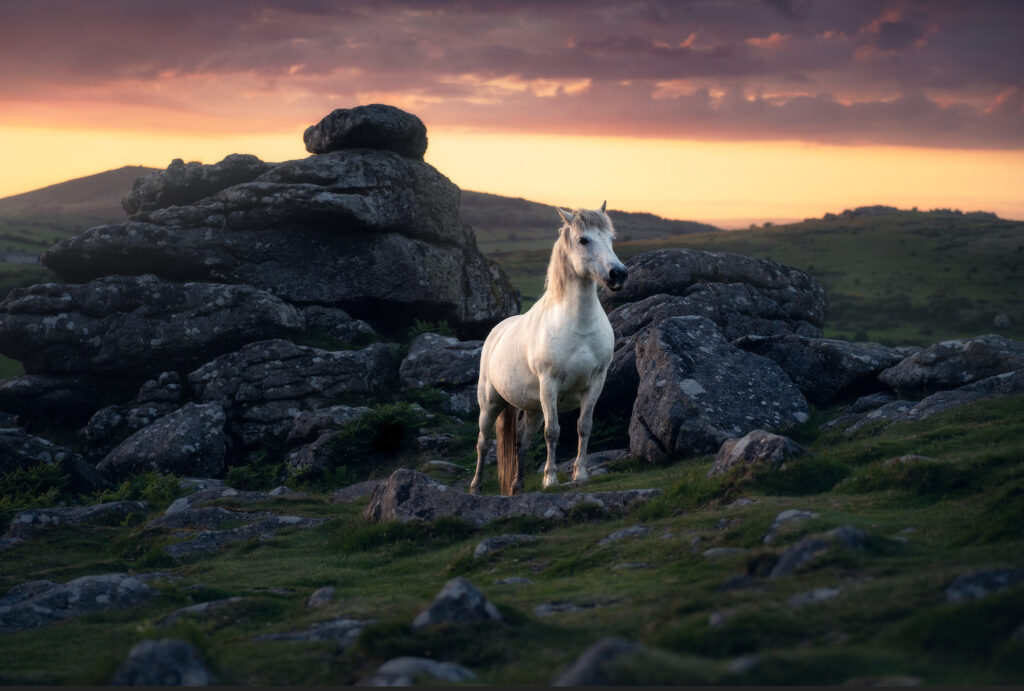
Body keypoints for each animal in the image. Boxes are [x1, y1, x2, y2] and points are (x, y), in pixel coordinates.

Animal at [470, 202, 628, 496]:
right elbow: (553, 432)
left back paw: (517, 485)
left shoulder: (595, 383)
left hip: (533, 409)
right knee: (483, 443)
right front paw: (550, 479)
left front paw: (580, 475)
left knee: (521, 441)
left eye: (611, 238)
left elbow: (584, 427)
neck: (578, 326)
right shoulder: (550, 385)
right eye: (583, 239)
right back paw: (475, 488)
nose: (618, 274)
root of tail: (496, 333)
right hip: (490, 404)